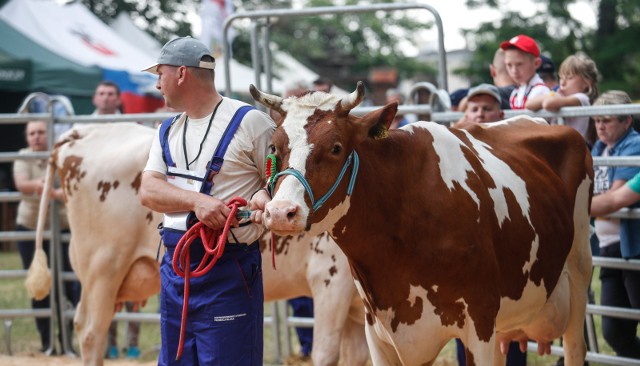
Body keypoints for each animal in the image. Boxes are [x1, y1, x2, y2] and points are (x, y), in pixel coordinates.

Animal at [25, 121, 368, 364]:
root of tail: (87, 131)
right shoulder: (329, 280)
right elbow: (326, 353)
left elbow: (357, 355)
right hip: (103, 268)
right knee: (91, 332)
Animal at [250, 83, 596, 366]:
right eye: (274, 147)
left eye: (335, 147)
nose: (280, 212)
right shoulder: (379, 332)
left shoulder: (479, 322)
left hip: (579, 272)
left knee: (575, 345)